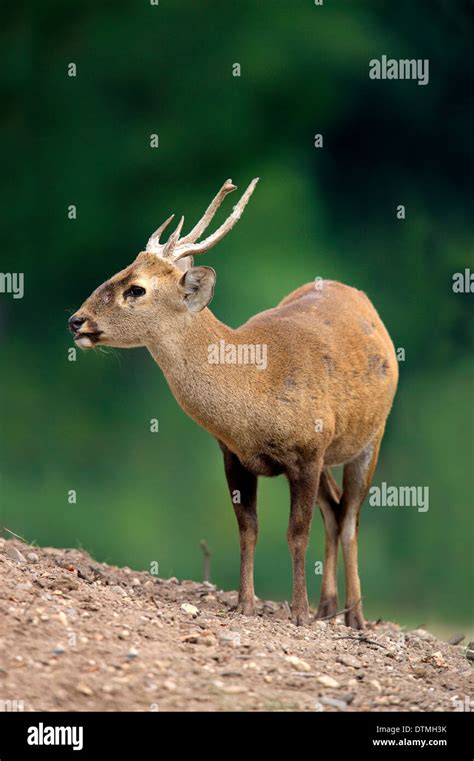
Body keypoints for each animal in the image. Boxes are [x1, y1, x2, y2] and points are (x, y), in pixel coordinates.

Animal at [68, 178, 398, 628]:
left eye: (136, 288)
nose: (76, 321)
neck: (256, 386)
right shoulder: (233, 455)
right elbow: (248, 528)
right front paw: (245, 604)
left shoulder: (308, 451)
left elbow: (297, 533)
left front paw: (297, 613)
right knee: (334, 511)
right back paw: (329, 608)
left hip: (369, 437)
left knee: (349, 518)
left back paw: (355, 617)